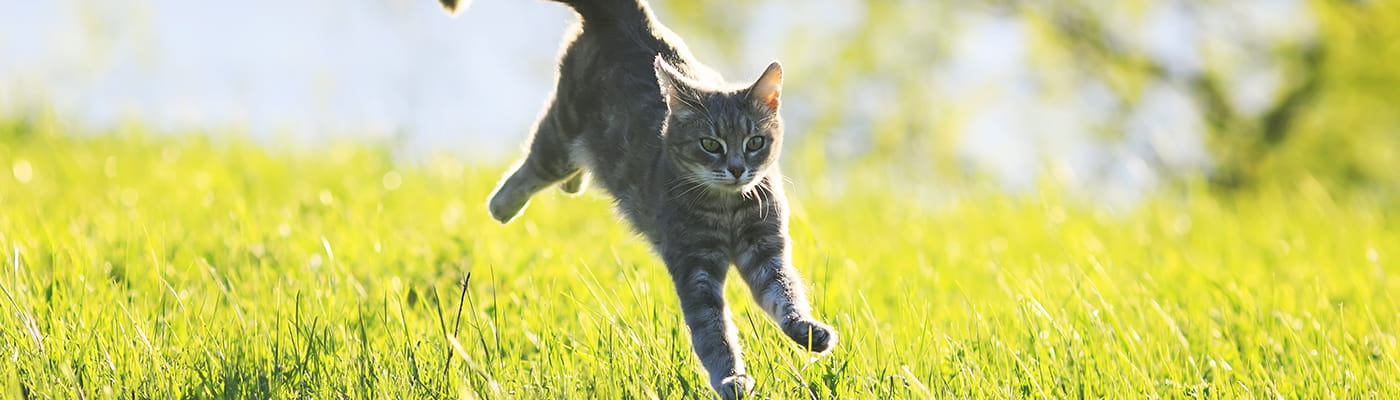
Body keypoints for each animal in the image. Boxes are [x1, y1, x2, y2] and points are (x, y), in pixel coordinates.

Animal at [436, 1, 828, 397]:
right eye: (710, 144)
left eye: (755, 142)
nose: (736, 169)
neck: (728, 208)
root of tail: (626, 14)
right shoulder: (694, 265)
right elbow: (712, 329)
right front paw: (730, 377)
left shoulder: (766, 247)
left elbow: (785, 291)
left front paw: (807, 330)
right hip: (561, 130)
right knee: (531, 167)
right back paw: (502, 207)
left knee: (571, 174)